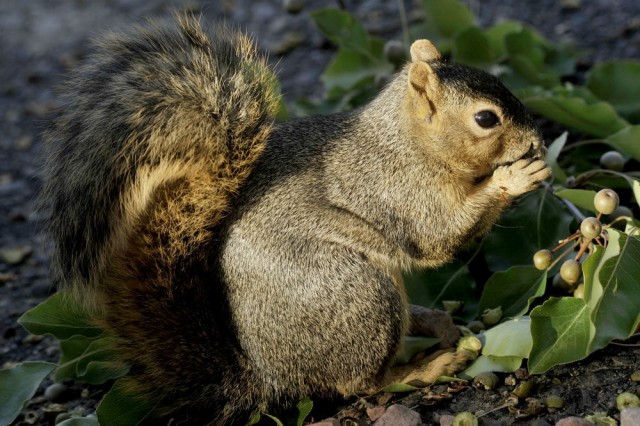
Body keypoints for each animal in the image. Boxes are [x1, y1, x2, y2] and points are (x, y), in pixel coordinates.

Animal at [42, 13, 552, 426]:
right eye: (485, 119)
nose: (537, 140)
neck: (408, 142)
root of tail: (270, 377)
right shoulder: (398, 191)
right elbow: (439, 237)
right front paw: (515, 177)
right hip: (357, 294)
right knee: (359, 384)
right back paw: (426, 367)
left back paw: (432, 323)